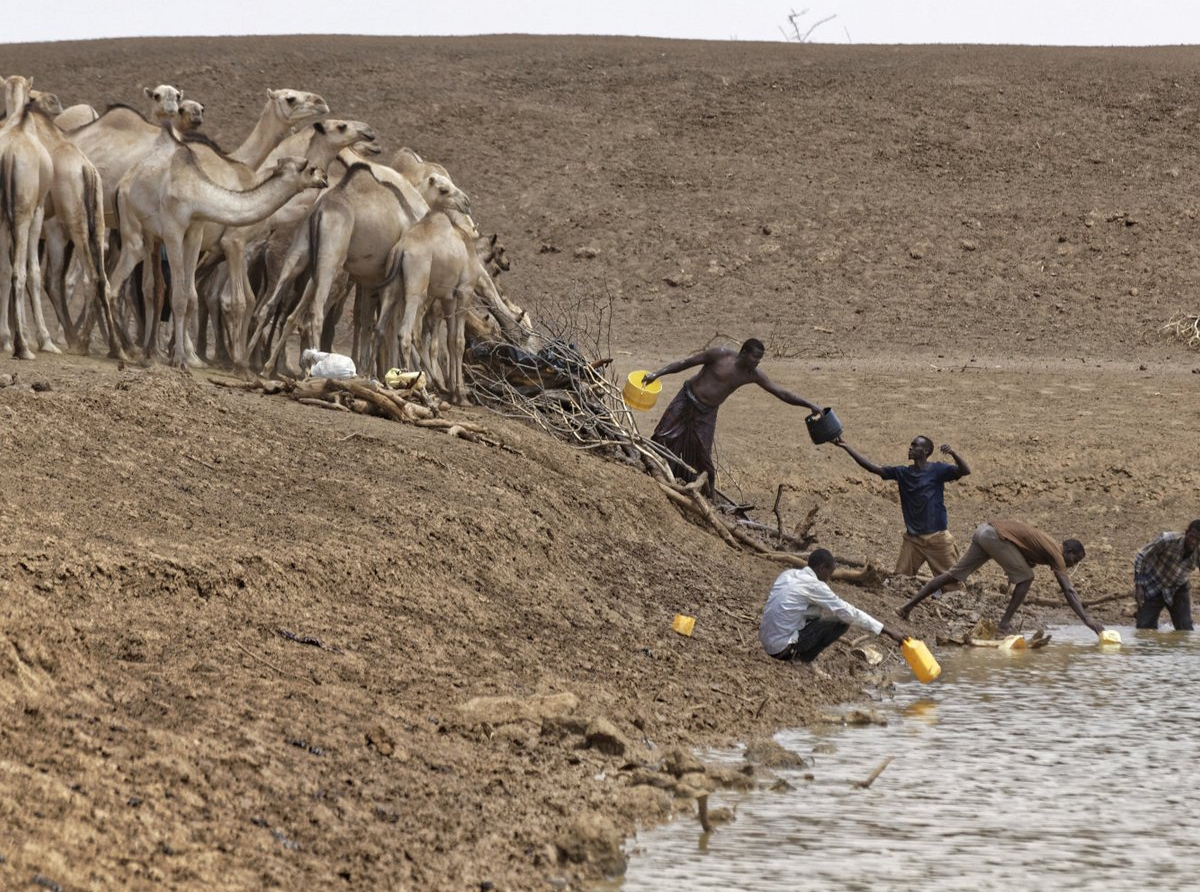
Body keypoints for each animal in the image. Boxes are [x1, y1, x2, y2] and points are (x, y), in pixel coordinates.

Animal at [106, 123, 324, 367]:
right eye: (311, 168)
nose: (325, 178)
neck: (197, 193)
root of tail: (121, 184)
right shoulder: (173, 231)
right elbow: (179, 296)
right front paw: (180, 359)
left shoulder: (194, 232)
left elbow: (189, 296)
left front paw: (187, 357)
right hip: (130, 219)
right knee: (115, 282)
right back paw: (121, 349)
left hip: (151, 236)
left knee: (145, 284)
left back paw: (142, 351)